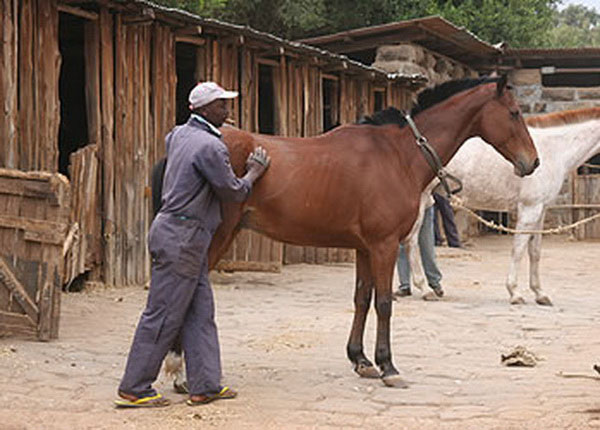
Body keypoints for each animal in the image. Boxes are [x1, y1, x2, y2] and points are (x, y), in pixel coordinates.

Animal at [151, 76, 539, 389]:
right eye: (514, 113)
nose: (532, 162)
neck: (398, 155)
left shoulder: (365, 248)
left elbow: (362, 298)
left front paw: (361, 360)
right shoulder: (384, 246)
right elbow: (384, 303)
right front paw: (388, 366)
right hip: (216, 236)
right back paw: (178, 370)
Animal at [410, 107, 600, 306]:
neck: (554, 150)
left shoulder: (540, 211)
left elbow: (535, 252)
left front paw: (540, 294)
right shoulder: (529, 210)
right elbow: (518, 251)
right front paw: (514, 292)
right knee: (412, 241)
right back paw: (424, 289)